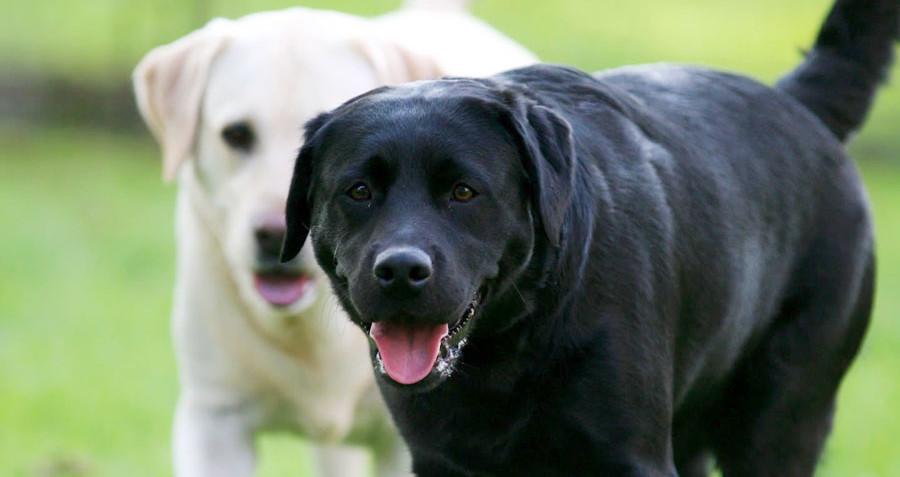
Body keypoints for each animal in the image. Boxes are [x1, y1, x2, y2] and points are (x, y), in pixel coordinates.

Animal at [284, 1, 896, 474]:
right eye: (359, 191)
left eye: (463, 192)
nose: (401, 270)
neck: (508, 348)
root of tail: (797, 102)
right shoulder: (440, 460)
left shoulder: (632, 455)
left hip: (783, 414)